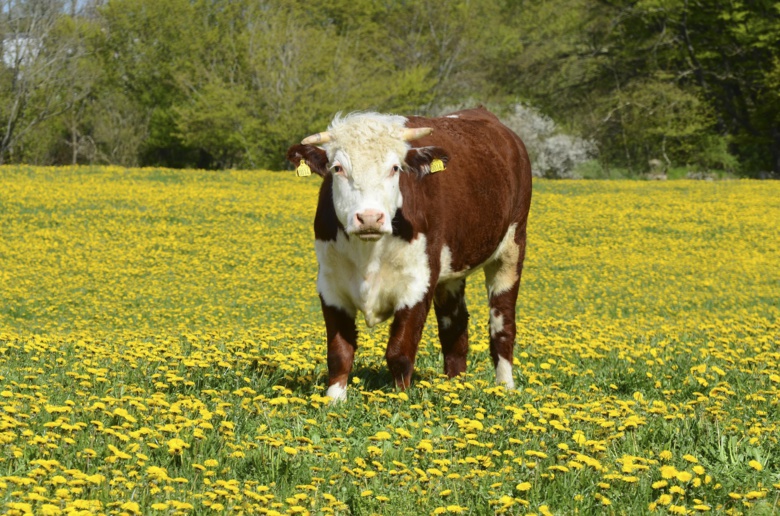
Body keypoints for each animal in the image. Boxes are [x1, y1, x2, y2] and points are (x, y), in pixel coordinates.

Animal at [290, 107, 532, 402]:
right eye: (337, 168)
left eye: (395, 168)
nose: (369, 218)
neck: (368, 255)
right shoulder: (330, 284)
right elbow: (339, 352)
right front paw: (334, 400)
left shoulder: (419, 282)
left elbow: (400, 351)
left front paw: (400, 398)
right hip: (452, 271)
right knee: (455, 327)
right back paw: (455, 386)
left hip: (512, 248)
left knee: (502, 324)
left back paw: (504, 386)